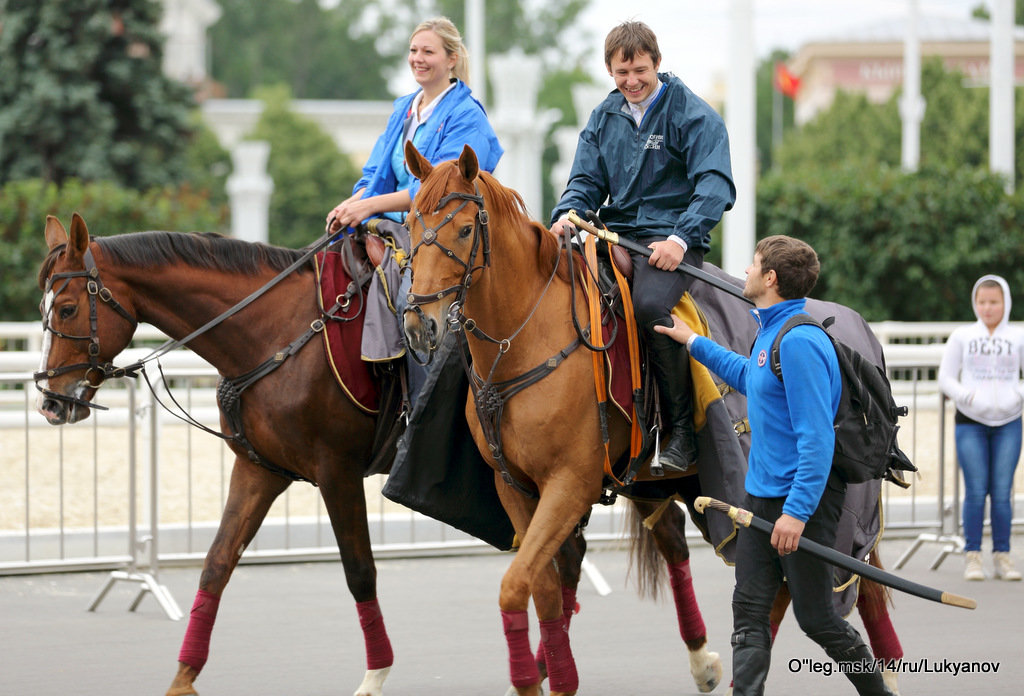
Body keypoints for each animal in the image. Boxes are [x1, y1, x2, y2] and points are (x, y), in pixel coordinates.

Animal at [399, 144, 905, 691]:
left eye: (463, 230)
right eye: (408, 223)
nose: (419, 325)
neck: (528, 337)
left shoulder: (569, 483)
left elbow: (516, 586)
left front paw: (536, 680)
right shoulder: (513, 485)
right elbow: (542, 588)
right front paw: (553, 676)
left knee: (835, 573)